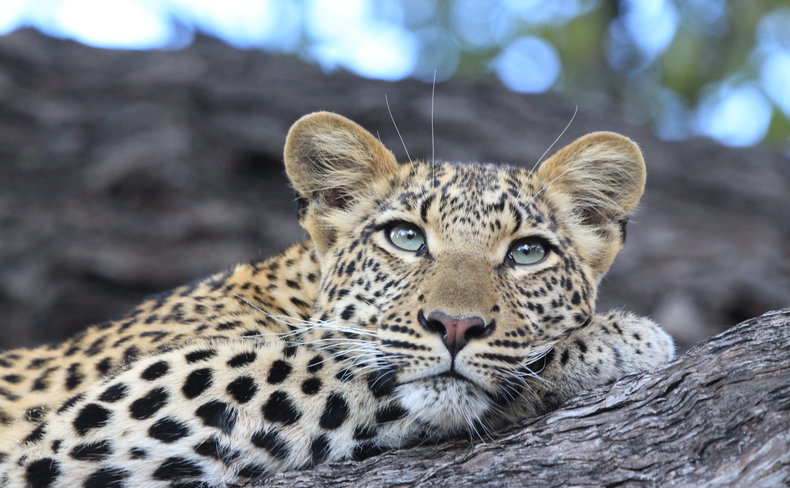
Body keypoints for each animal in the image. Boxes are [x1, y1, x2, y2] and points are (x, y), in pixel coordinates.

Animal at [0, 112, 674, 487]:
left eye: (528, 252)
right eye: (406, 237)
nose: (455, 326)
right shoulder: (109, 415)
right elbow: (335, 365)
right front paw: (618, 339)